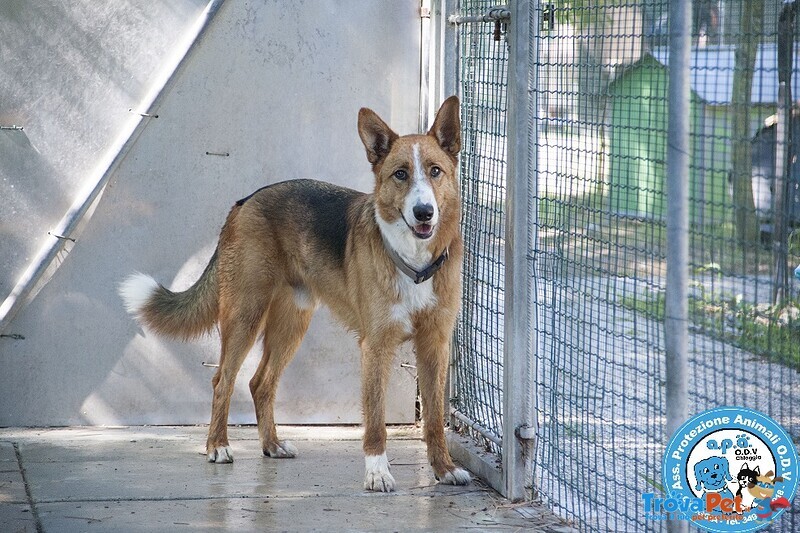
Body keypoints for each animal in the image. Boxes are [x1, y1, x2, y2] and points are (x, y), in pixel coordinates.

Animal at [119, 95, 468, 490]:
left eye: (436, 171)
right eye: (400, 174)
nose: (424, 212)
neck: (414, 264)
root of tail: (245, 201)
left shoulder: (434, 345)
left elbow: (435, 420)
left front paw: (443, 468)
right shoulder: (376, 347)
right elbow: (376, 420)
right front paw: (378, 472)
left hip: (291, 325)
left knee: (260, 383)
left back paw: (271, 445)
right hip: (245, 315)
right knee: (223, 380)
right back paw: (218, 446)